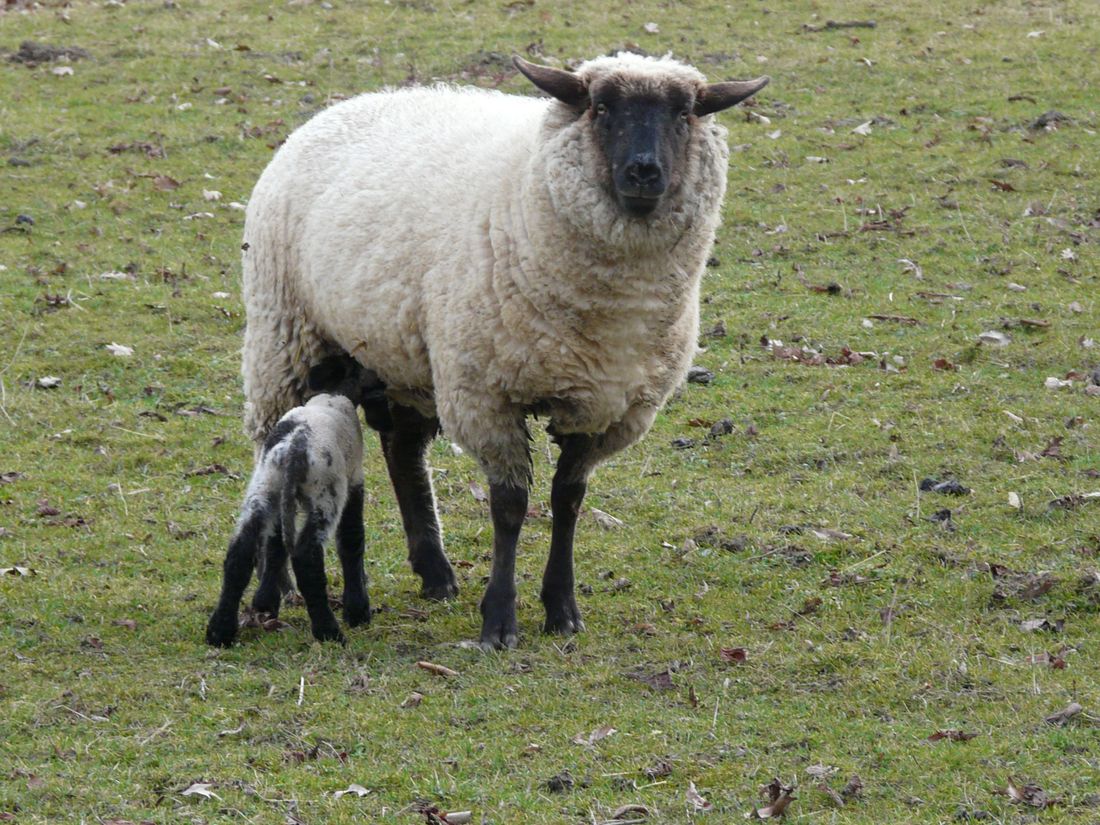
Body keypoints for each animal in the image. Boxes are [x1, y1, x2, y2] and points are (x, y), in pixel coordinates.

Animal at [206, 357, 380, 646]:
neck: (333, 392)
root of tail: (294, 447)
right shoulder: (355, 479)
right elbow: (352, 539)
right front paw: (358, 611)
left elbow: (275, 544)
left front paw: (265, 602)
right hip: (325, 495)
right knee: (306, 557)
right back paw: (328, 631)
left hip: (264, 487)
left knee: (240, 552)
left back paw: (219, 631)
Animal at [239, 52, 768, 649]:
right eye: (601, 108)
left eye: (683, 113)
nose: (643, 172)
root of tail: (347, 104)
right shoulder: (484, 394)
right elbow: (510, 509)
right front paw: (499, 621)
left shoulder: (609, 408)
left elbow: (568, 499)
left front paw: (561, 609)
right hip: (284, 337)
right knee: (271, 445)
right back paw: (282, 583)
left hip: (406, 357)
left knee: (403, 451)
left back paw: (436, 573)